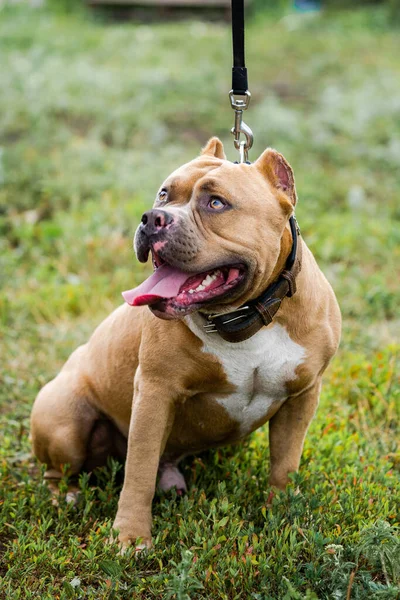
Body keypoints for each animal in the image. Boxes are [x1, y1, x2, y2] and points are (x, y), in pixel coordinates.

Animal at [30, 138, 340, 552]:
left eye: (216, 203)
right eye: (164, 193)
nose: (152, 218)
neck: (244, 318)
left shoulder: (302, 395)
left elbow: (285, 464)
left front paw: (284, 518)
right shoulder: (155, 391)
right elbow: (139, 471)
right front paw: (130, 536)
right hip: (64, 421)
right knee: (57, 471)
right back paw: (66, 497)